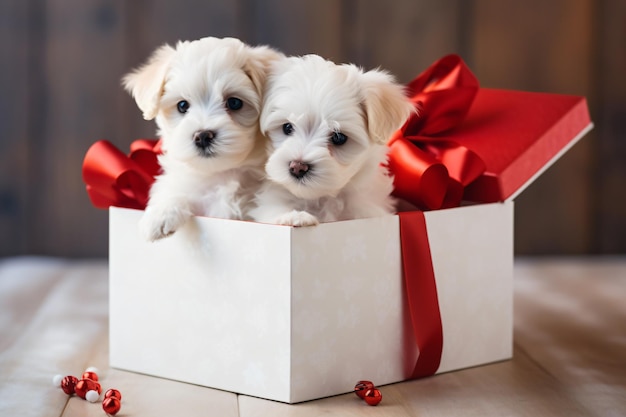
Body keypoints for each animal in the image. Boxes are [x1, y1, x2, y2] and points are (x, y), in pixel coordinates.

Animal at [122, 37, 282, 242]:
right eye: (182, 106)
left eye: (234, 103)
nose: (203, 136)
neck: (220, 174)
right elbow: (173, 190)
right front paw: (160, 215)